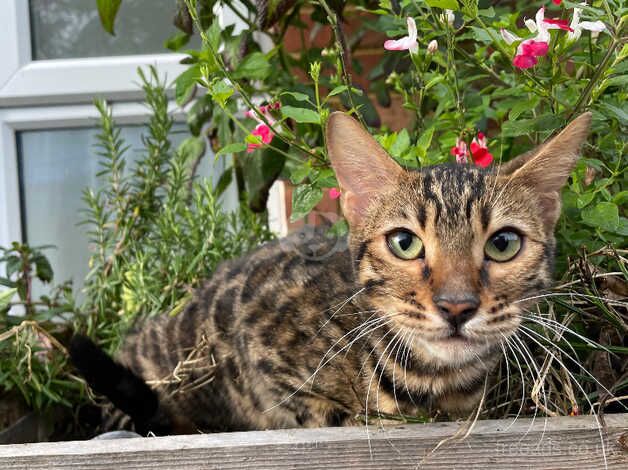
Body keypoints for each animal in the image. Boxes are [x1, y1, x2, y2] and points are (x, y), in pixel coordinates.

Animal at [71, 112, 592, 436]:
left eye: (503, 244)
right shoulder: (257, 345)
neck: (436, 382)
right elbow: (314, 411)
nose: (457, 306)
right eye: (405, 243)